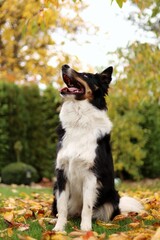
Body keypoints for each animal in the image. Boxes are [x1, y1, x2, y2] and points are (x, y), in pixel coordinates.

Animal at [52, 64, 142, 232]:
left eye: (86, 76)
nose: (64, 66)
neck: (79, 120)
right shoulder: (62, 173)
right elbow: (62, 207)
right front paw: (59, 228)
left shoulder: (91, 174)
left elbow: (87, 207)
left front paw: (86, 229)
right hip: (55, 189)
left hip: (112, 198)